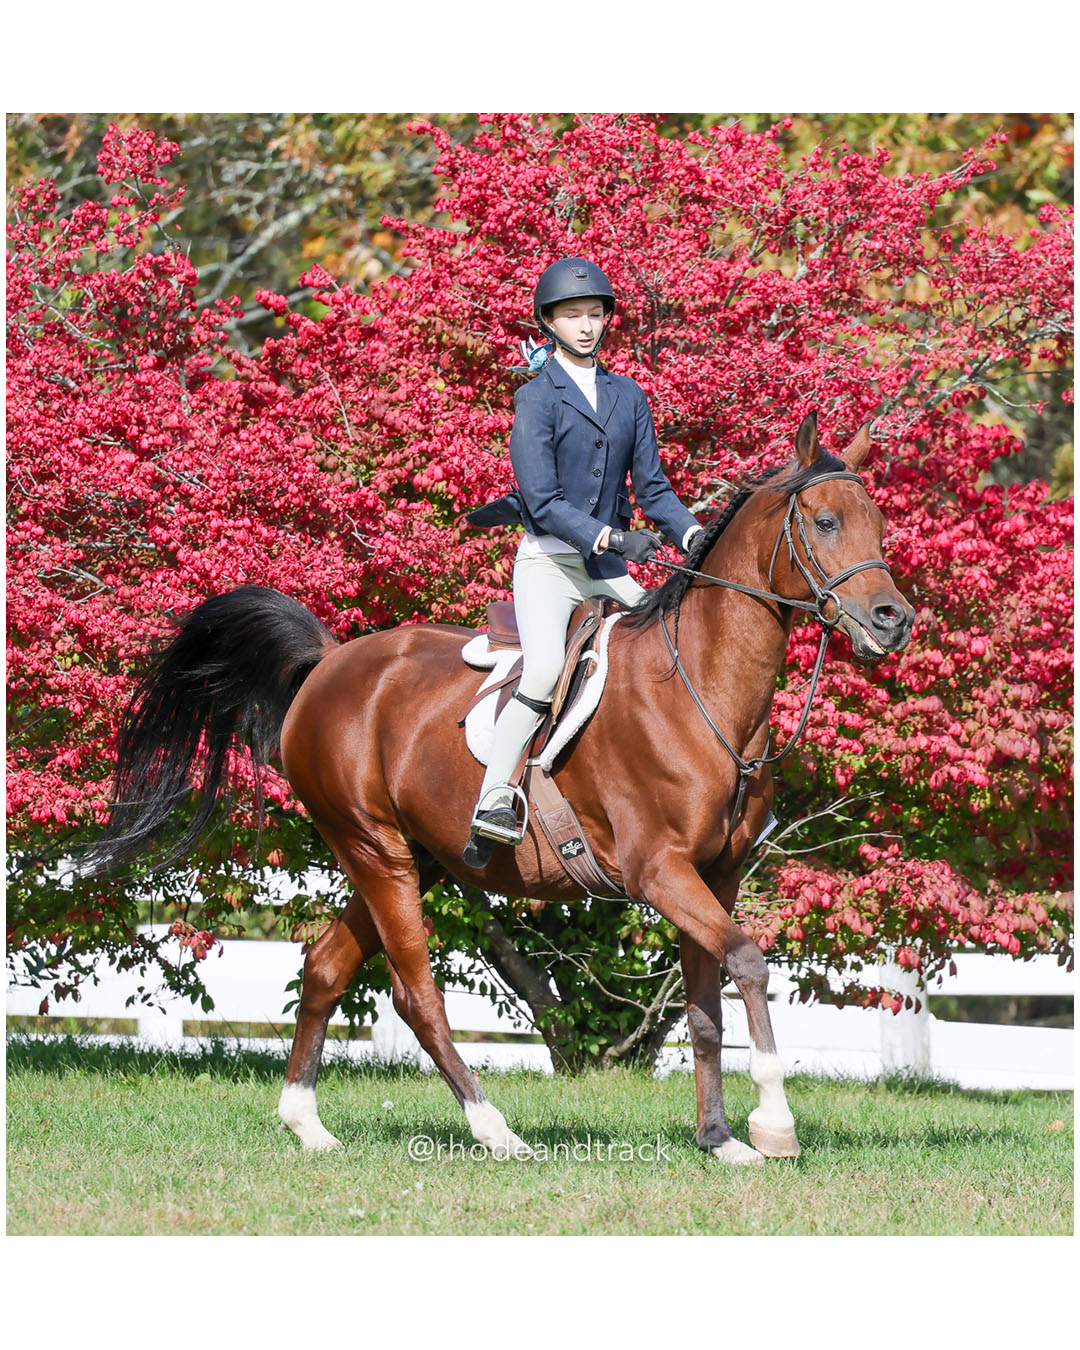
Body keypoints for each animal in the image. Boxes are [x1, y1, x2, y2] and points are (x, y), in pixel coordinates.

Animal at [88, 412, 914, 1165]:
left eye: (879, 526)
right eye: (826, 521)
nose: (893, 620)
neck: (700, 692)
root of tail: (329, 662)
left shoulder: (715, 876)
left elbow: (706, 1006)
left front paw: (719, 1139)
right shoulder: (659, 871)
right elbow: (748, 963)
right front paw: (773, 1125)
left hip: (409, 857)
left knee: (323, 968)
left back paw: (307, 1125)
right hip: (376, 851)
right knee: (415, 995)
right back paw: (495, 1131)